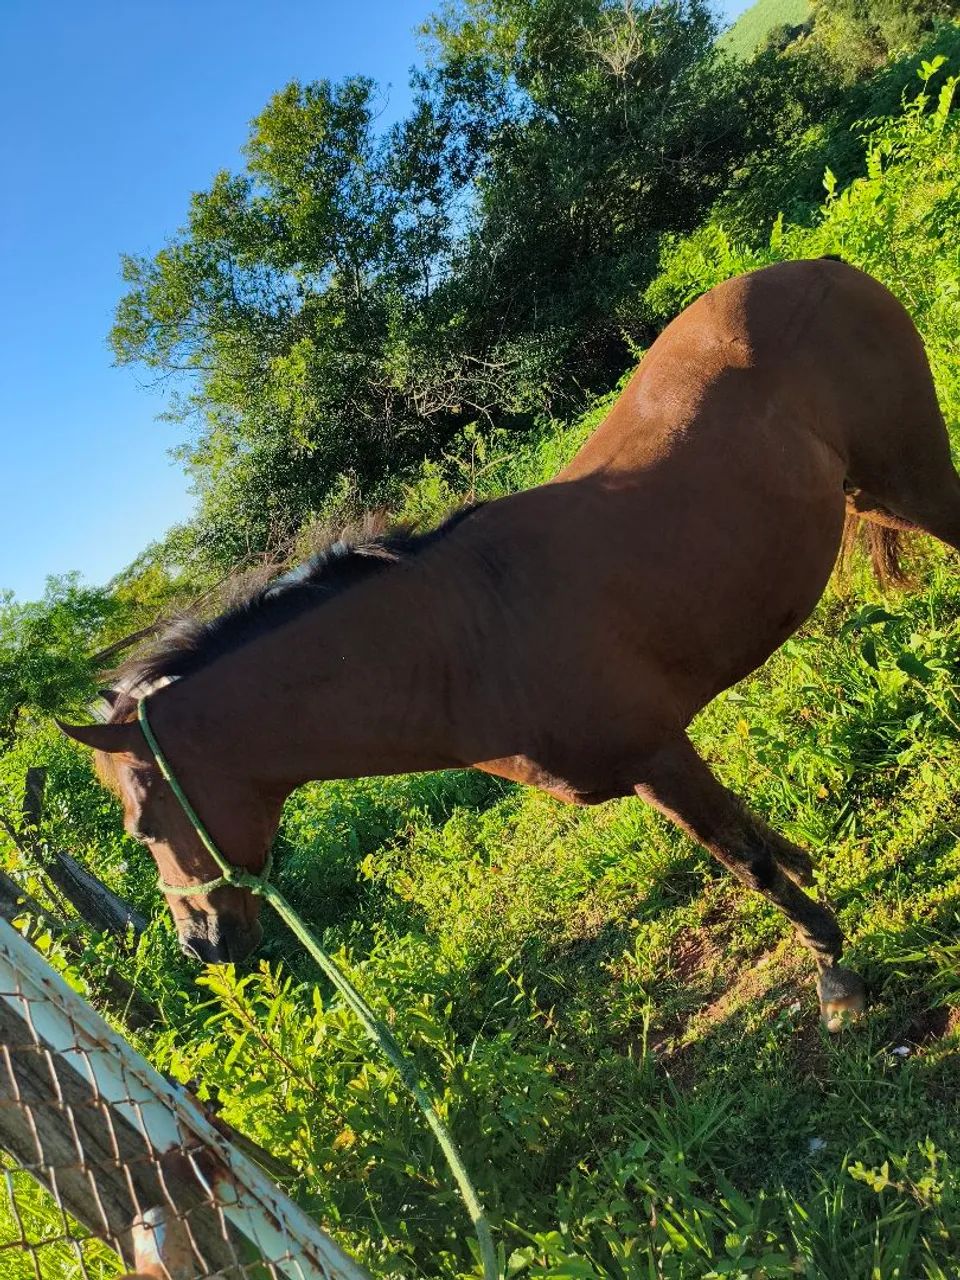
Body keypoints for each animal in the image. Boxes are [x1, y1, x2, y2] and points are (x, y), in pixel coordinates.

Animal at [60, 259, 960, 1028]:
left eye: (142, 830)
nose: (200, 945)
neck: (463, 643)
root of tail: (826, 269)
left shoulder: (659, 755)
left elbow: (746, 861)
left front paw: (833, 972)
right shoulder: (655, 771)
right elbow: (753, 843)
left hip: (916, 483)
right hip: (870, 497)